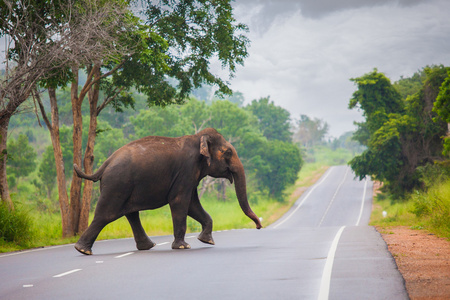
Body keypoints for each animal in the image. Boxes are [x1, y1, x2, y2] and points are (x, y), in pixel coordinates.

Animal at [72, 127, 262, 255]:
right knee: (107, 214)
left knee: (131, 214)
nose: (259, 226)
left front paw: (206, 240)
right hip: (117, 184)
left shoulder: (190, 175)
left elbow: (192, 205)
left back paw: (147, 247)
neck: (197, 138)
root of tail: (105, 164)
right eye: (228, 152)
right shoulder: (186, 169)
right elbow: (180, 202)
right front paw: (183, 247)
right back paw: (82, 250)